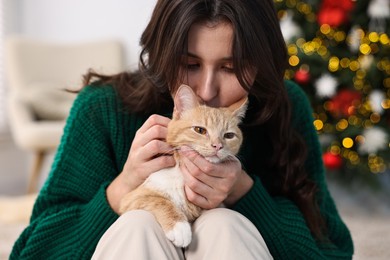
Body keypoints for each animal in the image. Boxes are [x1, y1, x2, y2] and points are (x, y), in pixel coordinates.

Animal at [119, 84, 247, 247]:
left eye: (229, 135)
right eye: (200, 130)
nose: (217, 146)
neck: (181, 177)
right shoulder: (130, 200)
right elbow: (159, 200)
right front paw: (179, 226)